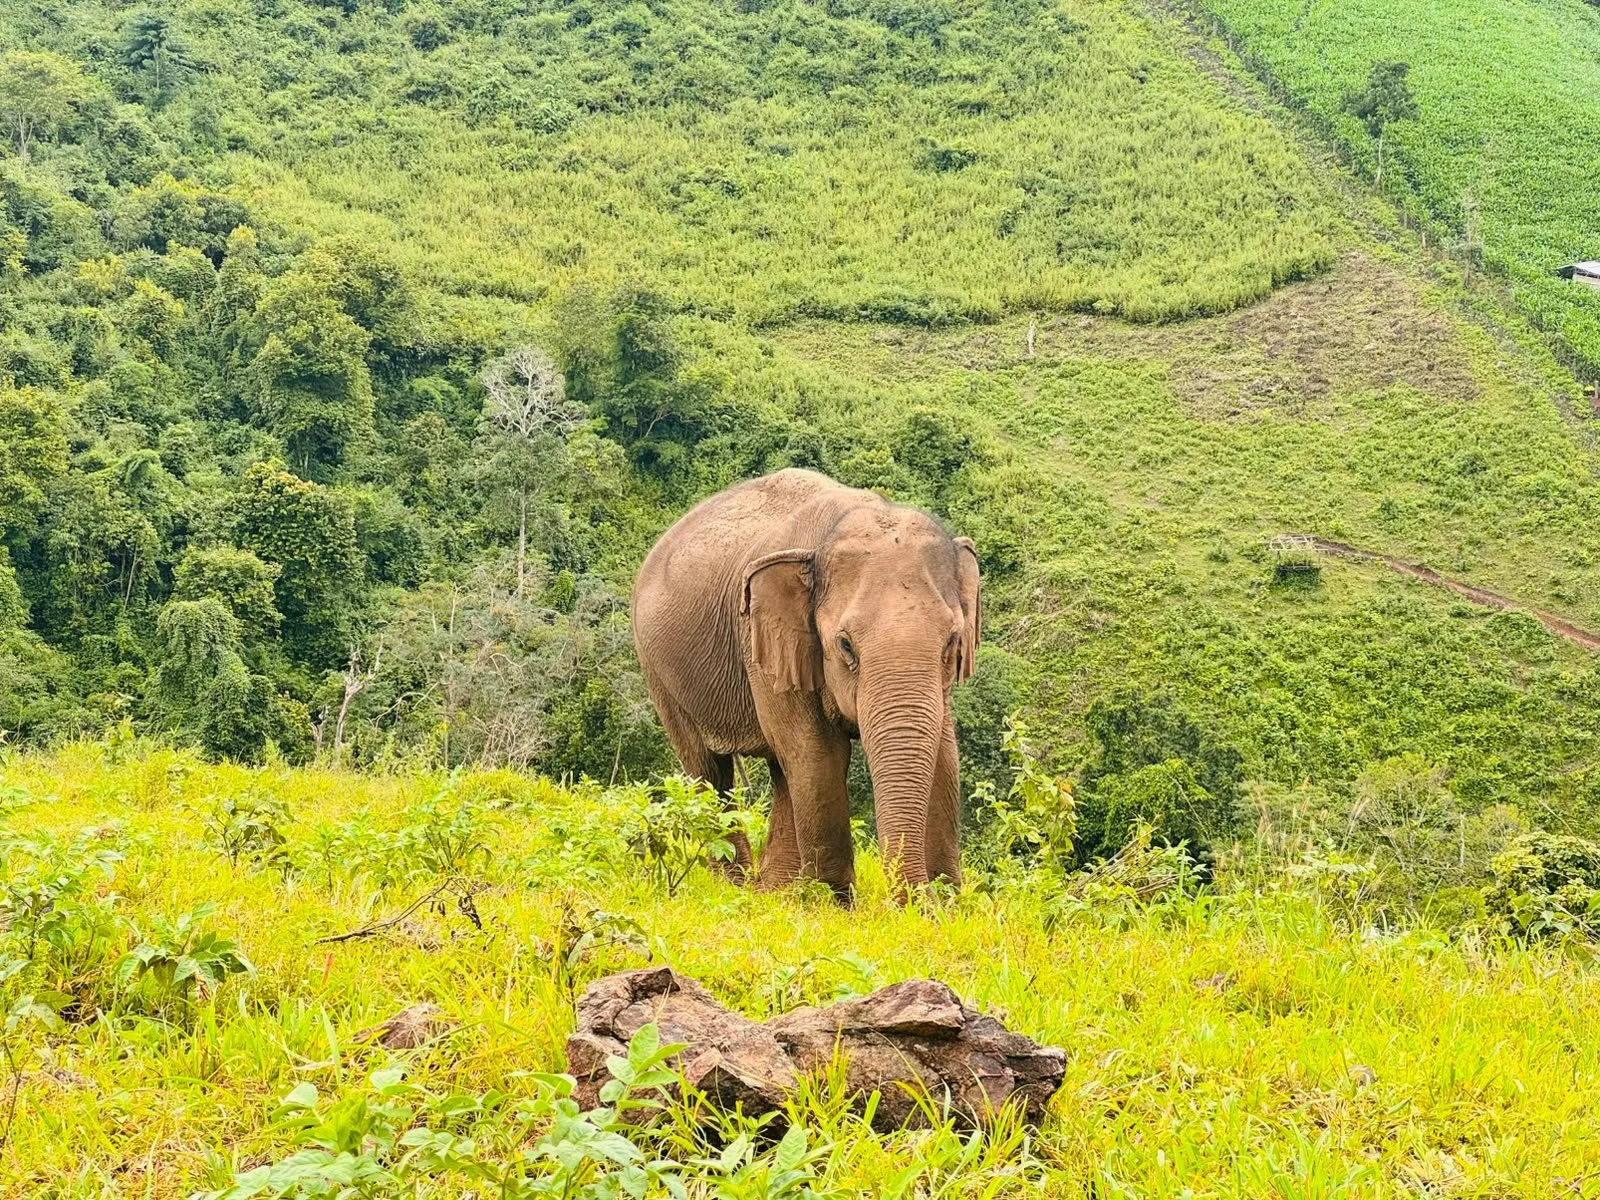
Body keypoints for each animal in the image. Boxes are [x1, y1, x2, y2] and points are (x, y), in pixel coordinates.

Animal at [631, 468, 980, 900]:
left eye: (952, 640)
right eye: (845, 645)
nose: (919, 902)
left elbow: (944, 752)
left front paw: (950, 902)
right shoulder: (766, 642)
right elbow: (819, 755)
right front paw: (833, 905)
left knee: (782, 769)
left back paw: (773, 892)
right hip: (658, 671)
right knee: (709, 770)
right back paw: (737, 889)